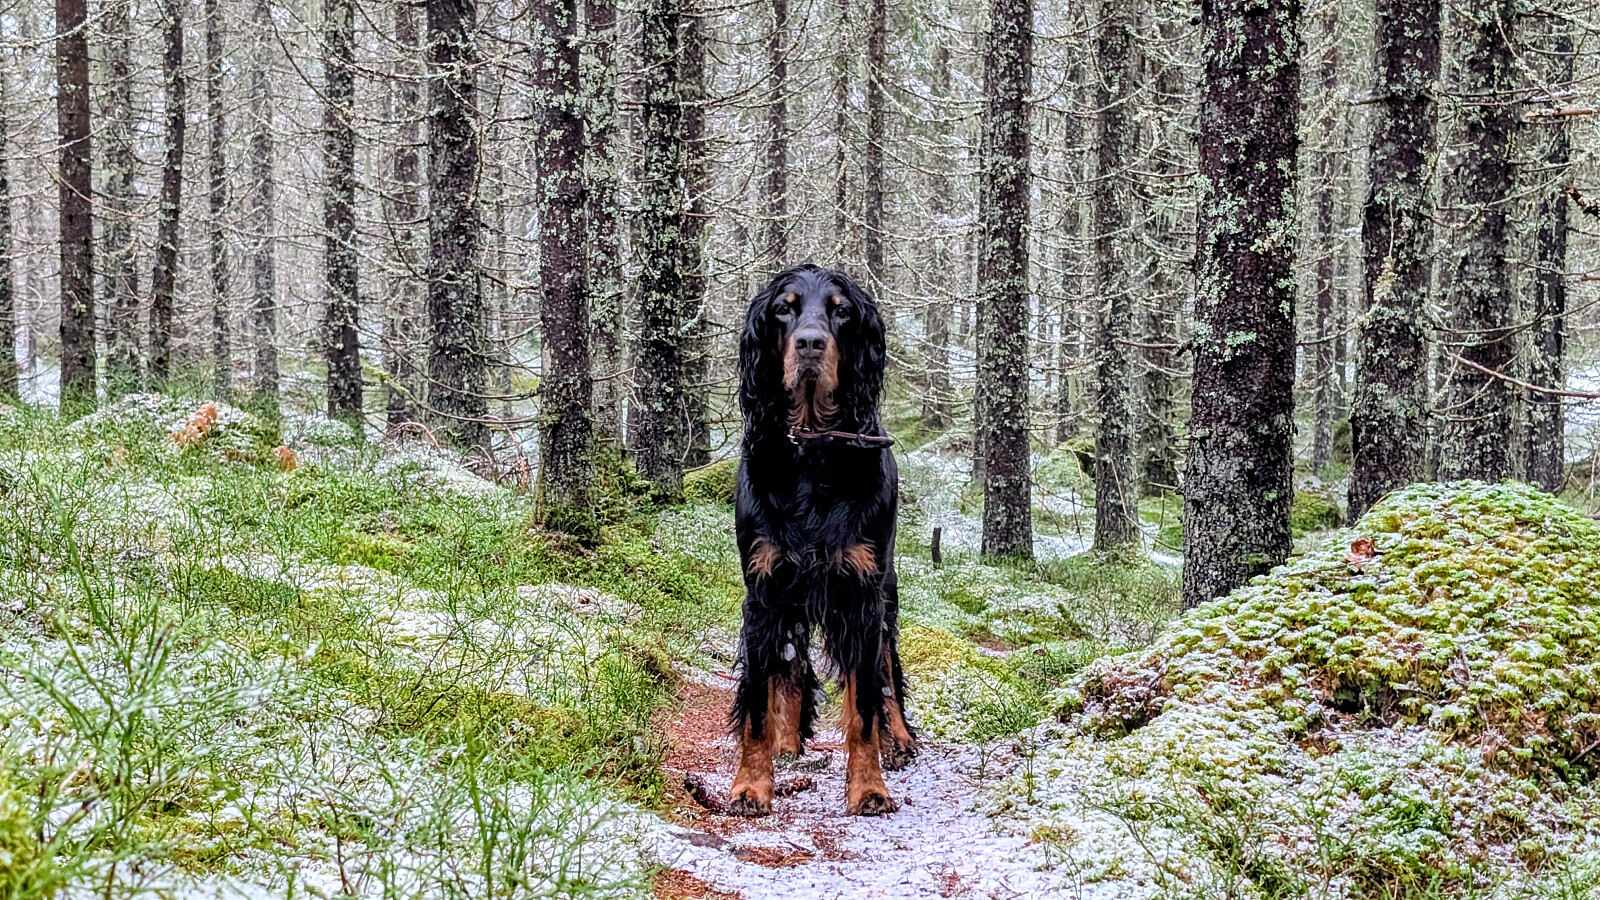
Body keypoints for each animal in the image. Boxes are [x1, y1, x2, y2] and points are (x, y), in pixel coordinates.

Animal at [728, 263, 916, 817]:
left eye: (842, 310)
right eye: (783, 309)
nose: (810, 343)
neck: (813, 448)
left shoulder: (862, 594)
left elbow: (866, 703)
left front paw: (869, 787)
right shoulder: (766, 591)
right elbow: (760, 700)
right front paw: (751, 785)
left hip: (887, 592)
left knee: (887, 669)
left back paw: (900, 740)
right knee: (791, 665)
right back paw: (788, 742)